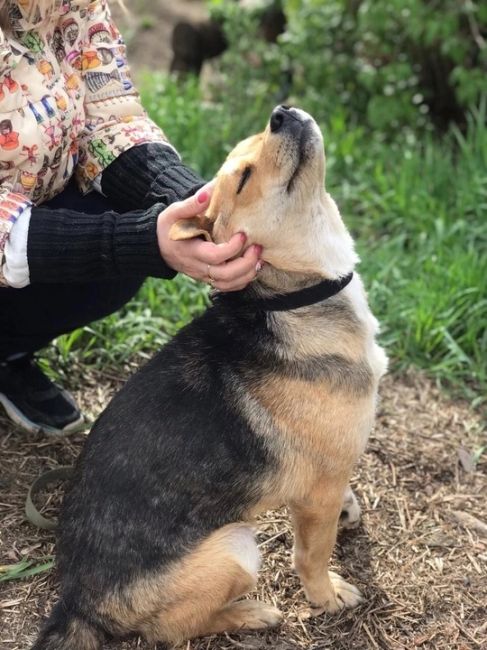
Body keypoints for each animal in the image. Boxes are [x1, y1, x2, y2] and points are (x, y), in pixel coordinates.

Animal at [31, 104, 388, 644]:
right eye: (242, 179)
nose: (281, 112)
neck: (288, 297)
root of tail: (75, 604)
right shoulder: (316, 494)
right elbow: (312, 555)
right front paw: (326, 598)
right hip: (236, 546)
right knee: (172, 628)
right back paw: (249, 614)